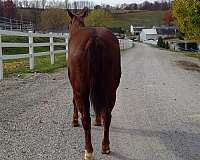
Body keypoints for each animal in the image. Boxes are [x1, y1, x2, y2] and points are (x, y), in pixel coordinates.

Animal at [67, 8, 121, 160]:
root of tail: (94, 39)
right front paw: (98, 120)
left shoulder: (75, 89)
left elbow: (73, 101)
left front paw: (74, 121)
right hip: (111, 89)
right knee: (107, 115)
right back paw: (105, 146)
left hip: (81, 89)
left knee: (86, 119)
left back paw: (88, 150)